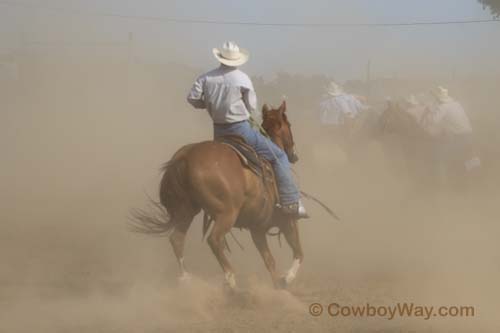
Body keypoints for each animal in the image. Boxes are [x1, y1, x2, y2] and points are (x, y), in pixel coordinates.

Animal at [133, 100, 302, 288]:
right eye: (289, 125)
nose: (293, 155)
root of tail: (186, 156)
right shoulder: (287, 220)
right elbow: (298, 252)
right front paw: (288, 278)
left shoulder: (257, 229)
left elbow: (270, 261)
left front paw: (279, 285)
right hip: (226, 213)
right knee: (214, 240)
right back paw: (231, 280)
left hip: (186, 211)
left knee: (177, 239)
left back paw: (186, 279)